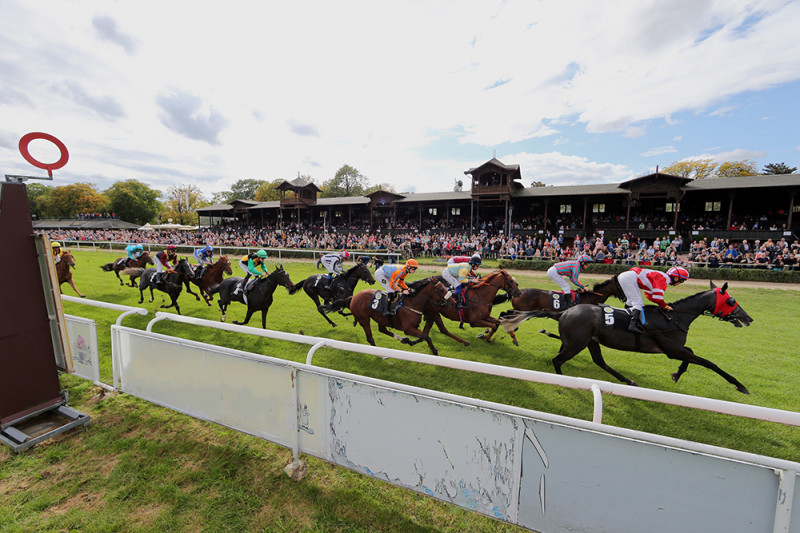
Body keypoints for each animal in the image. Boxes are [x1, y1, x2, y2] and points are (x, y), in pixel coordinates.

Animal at [488, 274, 624, 344]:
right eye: (620, 286)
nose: (624, 297)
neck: (588, 298)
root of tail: (518, 292)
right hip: (520, 310)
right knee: (504, 314)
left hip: (520, 311)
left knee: (505, 314)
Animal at [504, 280, 752, 392]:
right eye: (731, 301)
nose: (748, 318)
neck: (674, 318)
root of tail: (563, 311)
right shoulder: (671, 350)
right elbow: (709, 363)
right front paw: (740, 385)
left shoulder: (675, 350)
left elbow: (691, 355)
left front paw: (677, 374)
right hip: (577, 344)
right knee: (558, 360)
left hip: (589, 342)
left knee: (599, 362)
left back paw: (628, 381)